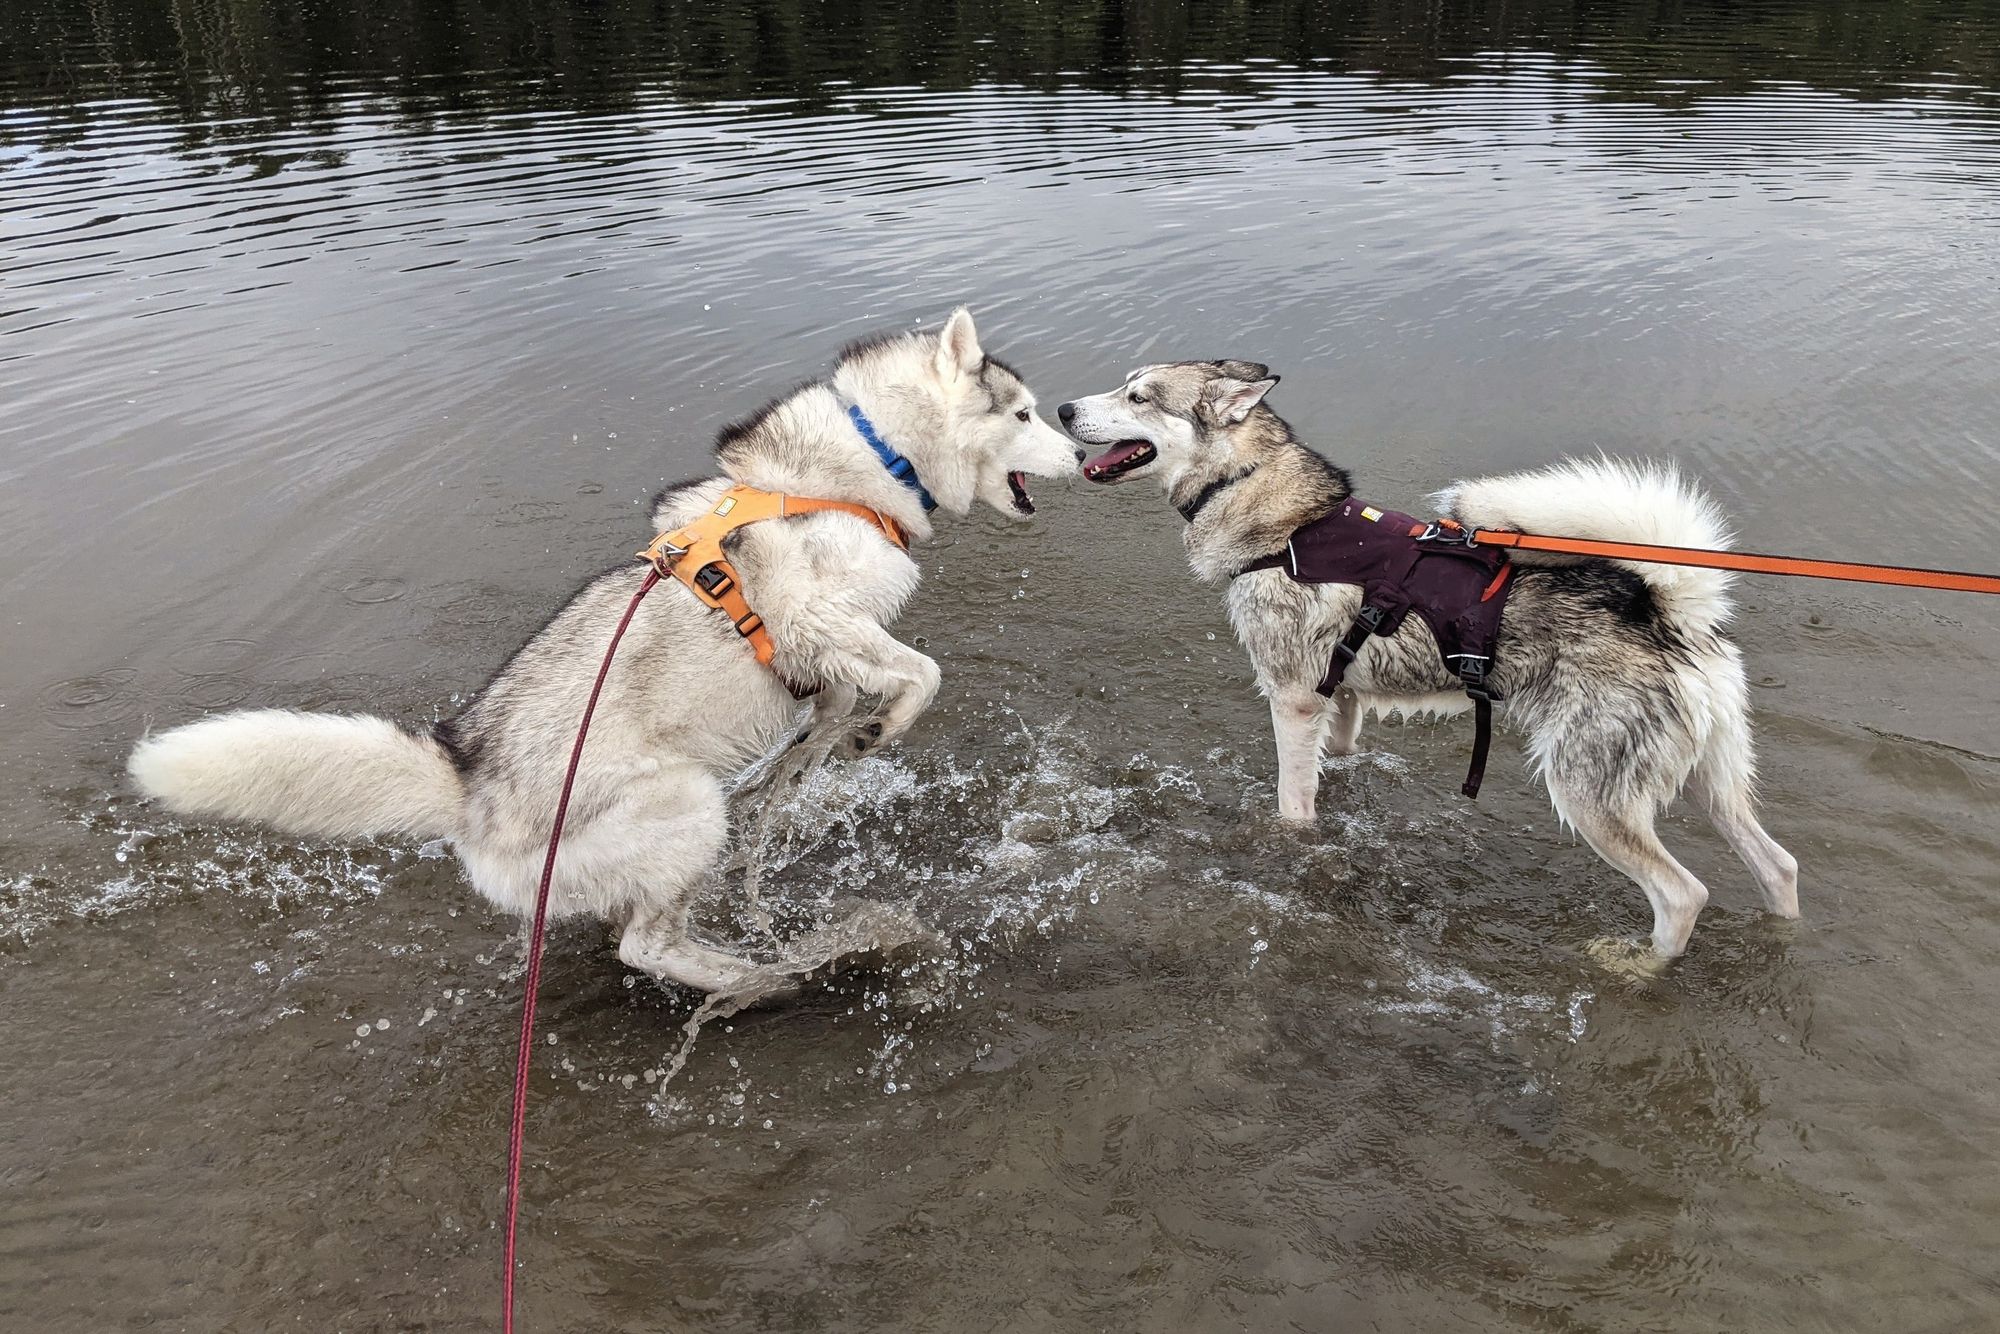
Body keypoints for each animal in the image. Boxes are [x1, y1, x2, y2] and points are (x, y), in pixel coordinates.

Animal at [129, 306, 1080, 992]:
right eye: (1026, 413)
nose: (1079, 447)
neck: (865, 466)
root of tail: (465, 772)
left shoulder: (820, 656)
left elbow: (831, 715)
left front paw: (807, 762)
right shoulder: (816, 618)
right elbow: (924, 671)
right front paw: (880, 731)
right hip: (686, 807)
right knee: (645, 946)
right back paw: (764, 977)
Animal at [1064, 358, 1800, 960]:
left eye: (1137, 396)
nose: (1066, 409)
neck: (1284, 523)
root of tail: (1668, 610)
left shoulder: (1294, 700)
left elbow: (1292, 805)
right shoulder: (1341, 697)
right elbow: (1338, 757)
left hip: (1589, 792)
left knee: (1683, 895)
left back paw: (1638, 966)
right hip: (1712, 783)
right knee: (1779, 865)